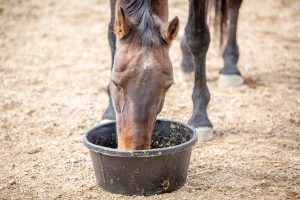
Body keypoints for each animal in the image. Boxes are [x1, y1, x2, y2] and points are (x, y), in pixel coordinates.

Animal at [102, 0, 243, 150]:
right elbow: (112, 33)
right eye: (115, 83)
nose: (135, 149)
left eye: (167, 87)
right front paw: (109, 112)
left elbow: (197, 37)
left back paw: (230, 67)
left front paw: (200, 119)